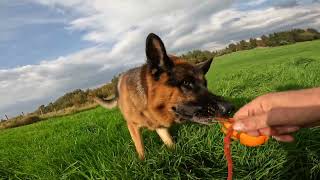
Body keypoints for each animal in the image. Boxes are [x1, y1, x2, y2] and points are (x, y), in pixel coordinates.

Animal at [94, 32, 234, 159]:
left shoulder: (160, 126)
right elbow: (140, 148)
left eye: (205, 84)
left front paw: (176, 155)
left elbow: (169, 142)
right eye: (186, 83)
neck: (147, 105)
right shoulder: (132, 126)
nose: (229, 108)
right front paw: (143, 163)